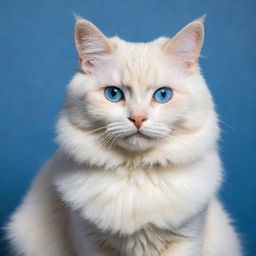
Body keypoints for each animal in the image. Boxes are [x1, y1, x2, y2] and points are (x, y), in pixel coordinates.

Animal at [6, 16, 242, 256]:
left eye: (163, 95)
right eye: (113, 94)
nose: (137, 119)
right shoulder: (89, 240)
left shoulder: (188, 238)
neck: (135, 172)